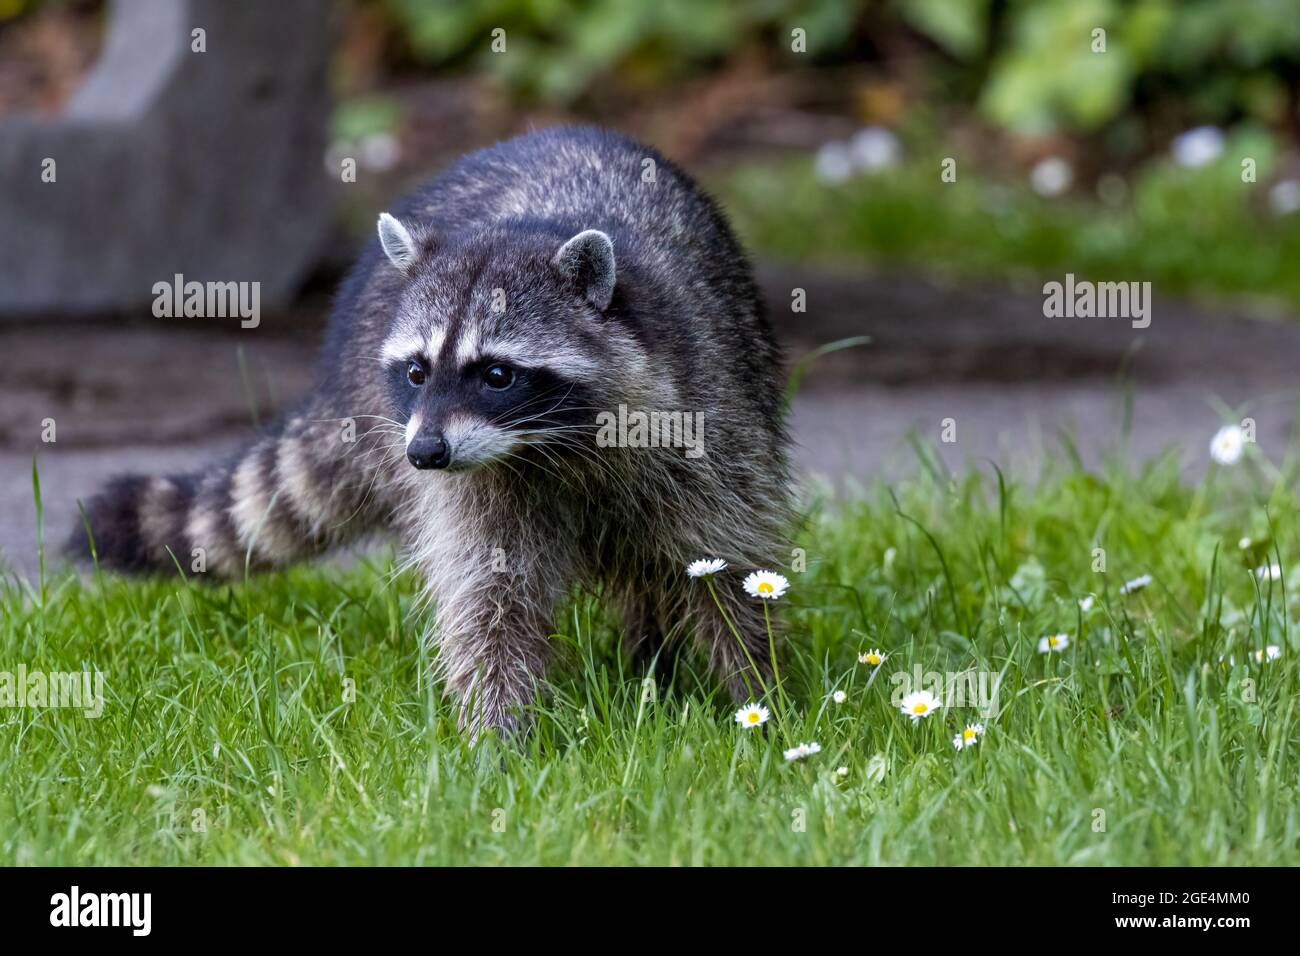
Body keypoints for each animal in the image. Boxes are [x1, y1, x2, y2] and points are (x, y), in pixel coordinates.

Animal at [70, 126, 792, 738]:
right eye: (417, 371)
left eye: (497, 374)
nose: (423, 452)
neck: (552, 446)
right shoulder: (479, 485)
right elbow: (489, 597)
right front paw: (500, 731)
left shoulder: (707, 424)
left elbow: (726, 565)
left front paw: (760, 693)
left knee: (651, 570)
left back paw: (653, 667)